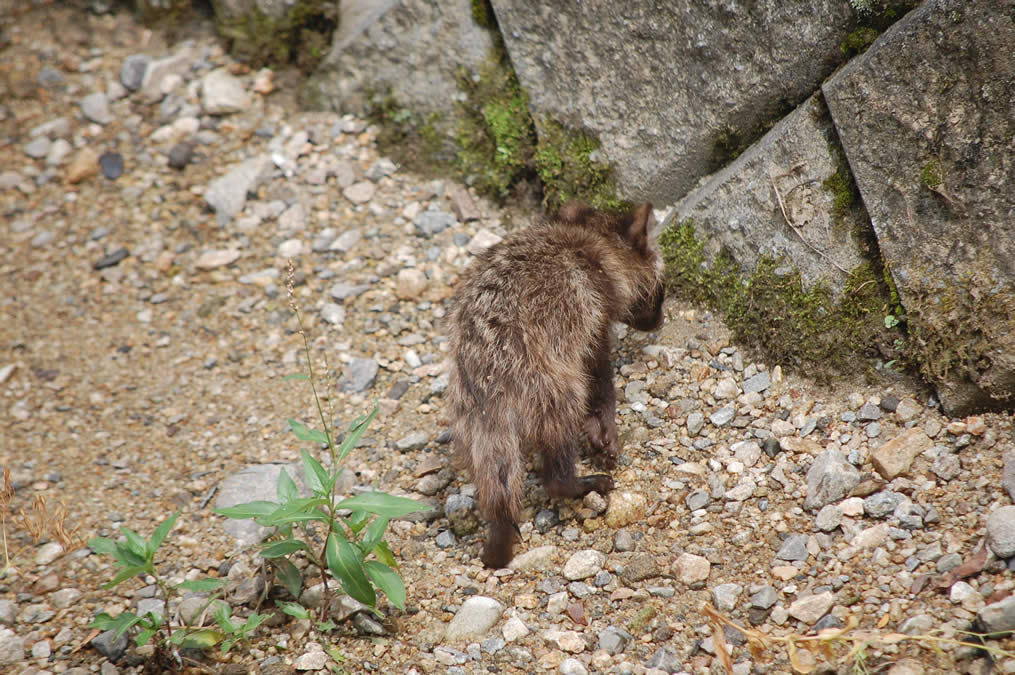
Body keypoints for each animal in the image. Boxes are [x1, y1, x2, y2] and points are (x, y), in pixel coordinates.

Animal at [448, 203, 661, 564]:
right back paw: (566, 481)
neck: (592, 238)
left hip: (468, 412)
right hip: (544, 380)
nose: (660, 320)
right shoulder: (592, 311)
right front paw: (603, 422)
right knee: (566, 409)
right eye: (661, 290)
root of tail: (489, 386)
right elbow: (598, 375)